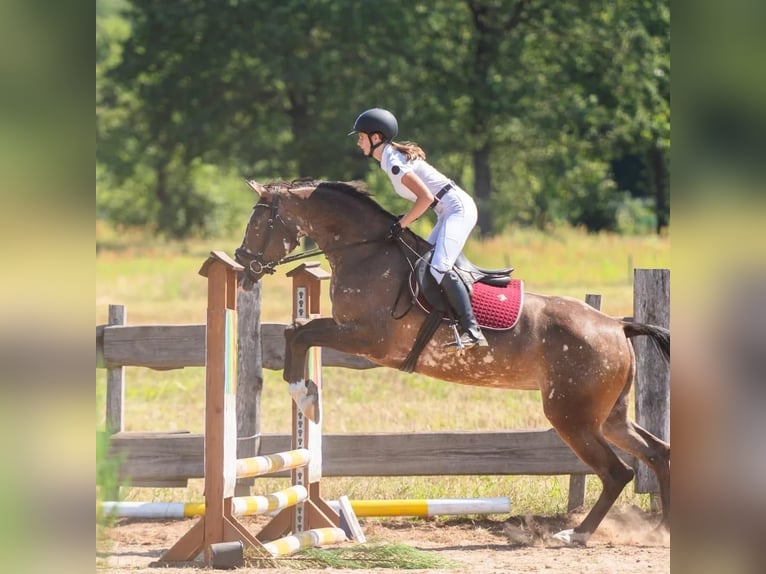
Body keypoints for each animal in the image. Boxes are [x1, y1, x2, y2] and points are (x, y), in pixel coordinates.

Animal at [235, 179, 670, 545]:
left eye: (258, 222)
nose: (243, 268)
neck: (365, 251)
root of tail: (617, 326)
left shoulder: (366, 338)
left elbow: (301, 333)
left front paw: (303, 394)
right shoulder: (352, 333)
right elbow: (296, 331)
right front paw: (303, 392)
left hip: (572, 416)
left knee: (618, 472)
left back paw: (576, 534)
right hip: (607, 415)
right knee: (655, 452)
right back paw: (662, 528)